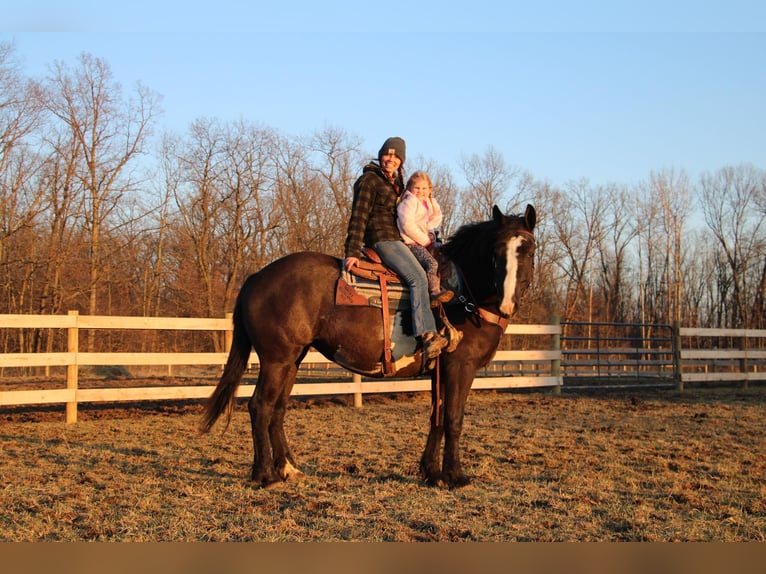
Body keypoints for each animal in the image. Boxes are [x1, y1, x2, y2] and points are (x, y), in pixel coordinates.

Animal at [204, 205, 540, 488]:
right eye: (496, 252)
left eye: (529, 250)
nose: (508, 303)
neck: (461, 294)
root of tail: (256, 277)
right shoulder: (461, 367)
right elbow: (453, 419)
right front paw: (455, 477)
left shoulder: (441, 371)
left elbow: (437, 417)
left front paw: (431, 472)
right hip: (276, 360)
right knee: (260, 406)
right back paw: (265, 476)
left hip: (292, 361)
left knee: (277, 409)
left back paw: (288, 469)